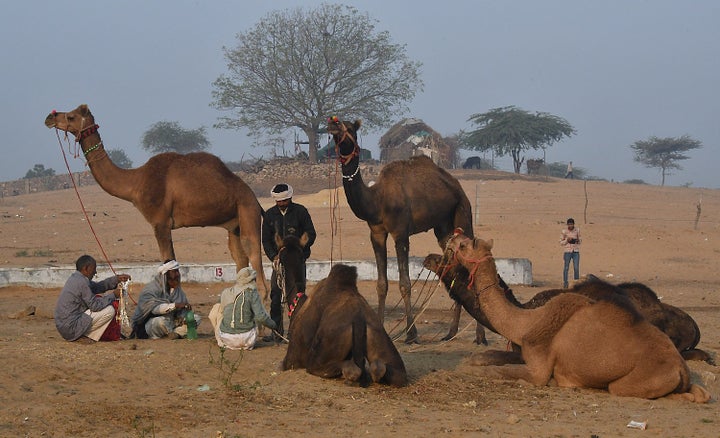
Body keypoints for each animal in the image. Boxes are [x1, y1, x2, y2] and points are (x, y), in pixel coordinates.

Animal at [45, 104, 270, 294]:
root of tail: (253, 196)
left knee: (255, 258)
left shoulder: (160, 222)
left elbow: (168, 264)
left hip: (247, 209)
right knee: (239, 257)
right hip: (234, 223)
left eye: (71, 116)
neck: (136, 181)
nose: (50, 117)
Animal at [326, 118, 472, 344]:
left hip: (463, 211)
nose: (333, 125)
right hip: (443, 227)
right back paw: (451, 332)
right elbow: (381, 283)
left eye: (349, 128)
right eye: (338, 123)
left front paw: (411, 333)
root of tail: (457, 186)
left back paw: (478, 337)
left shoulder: (401, 234)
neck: (377, 200)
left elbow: (405, 283)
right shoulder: (376, 233)